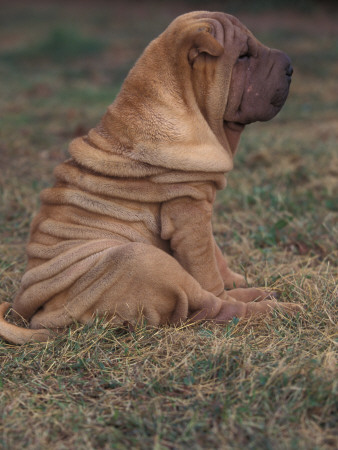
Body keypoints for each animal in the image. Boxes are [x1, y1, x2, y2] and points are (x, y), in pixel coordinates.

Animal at [0, 11, 302, 344]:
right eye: (244, 56)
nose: (291, 66)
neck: (184, 104)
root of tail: (37, 316)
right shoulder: (188, 211)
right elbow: (207, 267)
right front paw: (233, 290)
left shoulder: (200, 207)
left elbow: (217, 255)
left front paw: (235, 279)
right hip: (141, 259)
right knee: (211, 306)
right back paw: (277, 309)